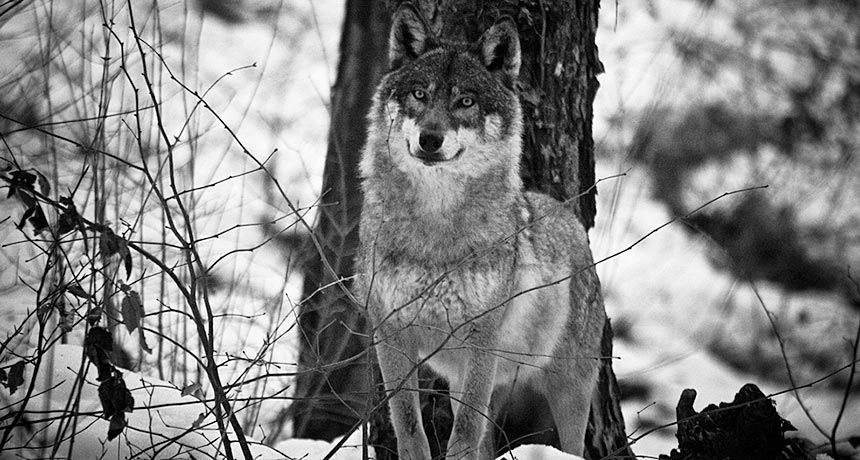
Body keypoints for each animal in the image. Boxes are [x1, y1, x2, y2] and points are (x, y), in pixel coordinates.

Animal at [355, 4, 605, 459]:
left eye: (466, 101)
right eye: (420, 95)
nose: (430, 139)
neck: (433, 229)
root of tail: (568, 216)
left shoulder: (480, 339)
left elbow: (465, 434)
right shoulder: (390, 332)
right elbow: (409, 426)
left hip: (568, 388)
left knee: (572, 446)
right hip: (463, 378)